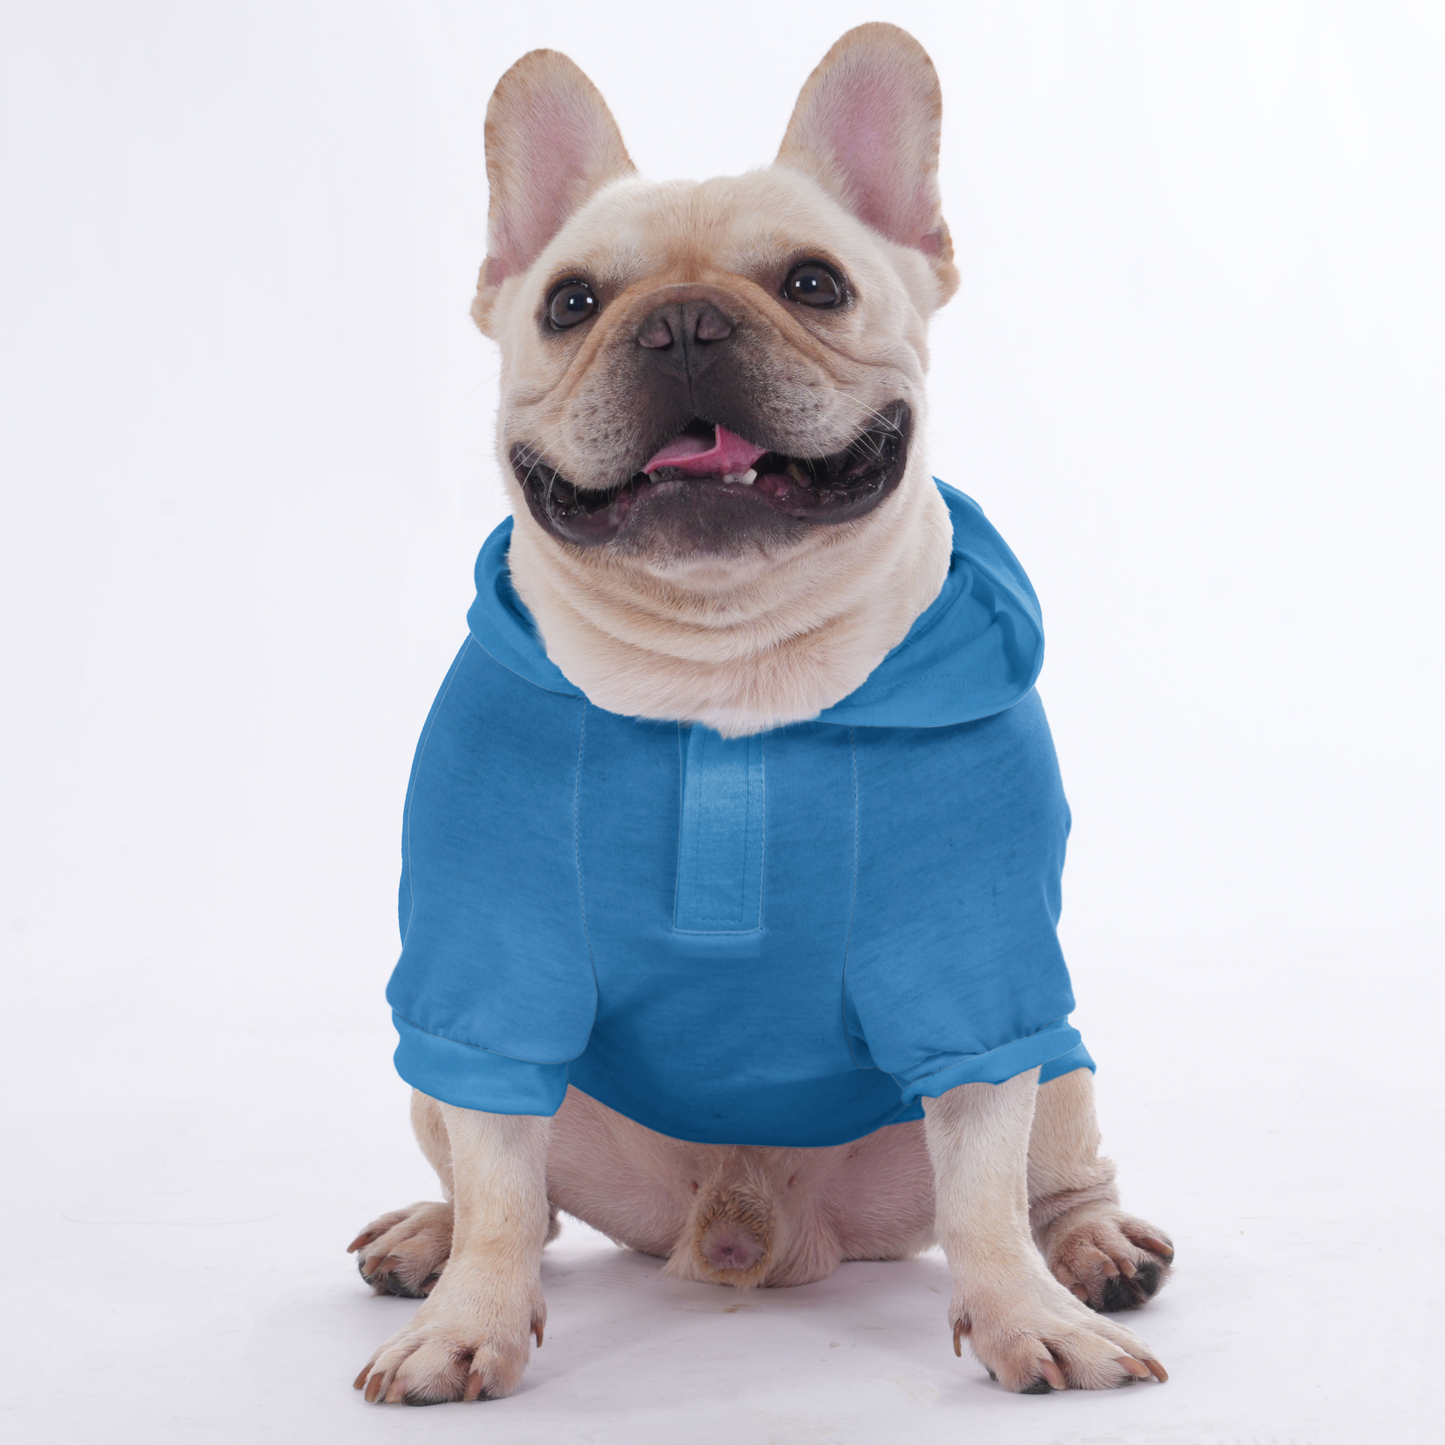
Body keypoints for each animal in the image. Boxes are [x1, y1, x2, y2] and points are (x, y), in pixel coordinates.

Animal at [348, 23, 1173, 1405]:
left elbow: (984, 1194)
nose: (682, 323)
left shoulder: (977, 972)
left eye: (813, 284)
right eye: (570, 303)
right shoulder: (484, 974)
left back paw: (1094, 1250)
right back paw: (427, 1236)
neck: (725, 671)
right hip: (438, 1073)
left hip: (1058, 1058)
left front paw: (1028, 1318)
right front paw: (466, 1321)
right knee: (495, 1177)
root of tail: (748, 1229)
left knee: (1041, 1180)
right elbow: (506, 1187)